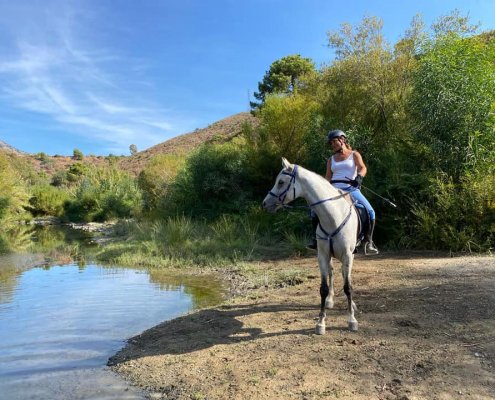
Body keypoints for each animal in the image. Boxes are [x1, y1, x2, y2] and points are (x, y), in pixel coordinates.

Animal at [264, 158, 360, 332]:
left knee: (345, 276)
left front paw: (352, 320)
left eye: (281, 182)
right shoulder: (322, 255)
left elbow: (348, 287)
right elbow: (323, 288)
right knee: (332, 272)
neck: (333, 216)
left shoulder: (348, 256)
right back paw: (330, 300)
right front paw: (321, 322)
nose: (265, 203)